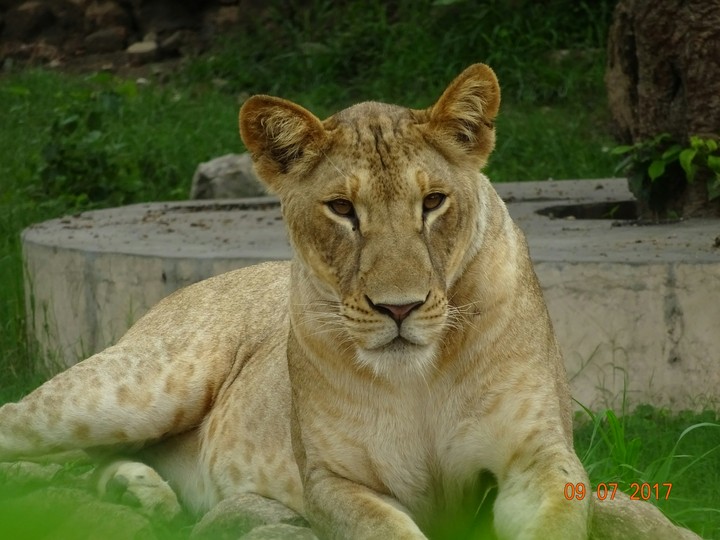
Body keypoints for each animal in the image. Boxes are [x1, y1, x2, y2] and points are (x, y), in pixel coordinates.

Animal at [0, 64, 700, 539]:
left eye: (432, 202)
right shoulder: (333, 482)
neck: (421, 379)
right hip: (138, 388)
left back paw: (148, 496)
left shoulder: (538, 457)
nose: (400, 308)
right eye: (341, 209)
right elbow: (387, 528)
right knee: (20, 425)